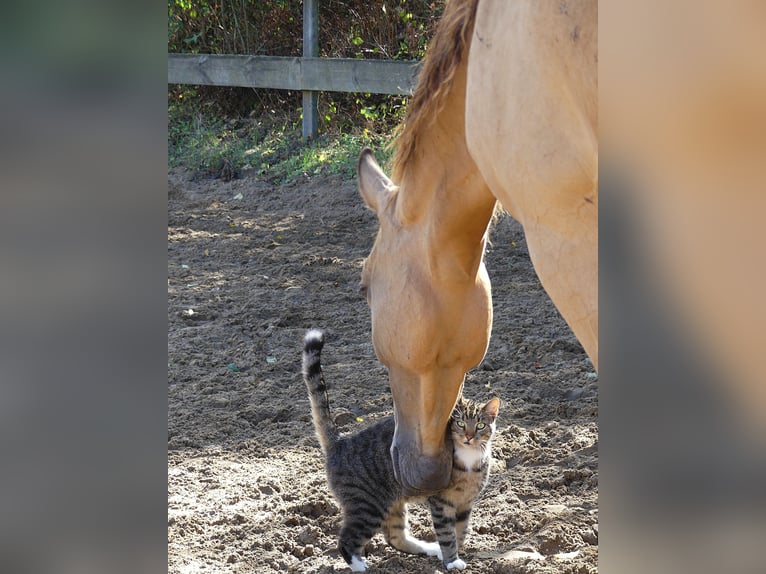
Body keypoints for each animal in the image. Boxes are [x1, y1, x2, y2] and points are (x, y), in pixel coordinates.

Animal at [304, 330, 500, 572]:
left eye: (480, 425)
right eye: (460, 423)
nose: (469, 436)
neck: (469, 458)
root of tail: (339, 442)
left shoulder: (465, 503)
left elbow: (460, 531)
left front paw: (455, 553)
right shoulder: (441, 502)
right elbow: (447, 534)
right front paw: (451, 560)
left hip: (392, 503)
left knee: (395, 537)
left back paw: (428, 548)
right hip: (367, 505)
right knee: (346, 539)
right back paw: (359, 566)